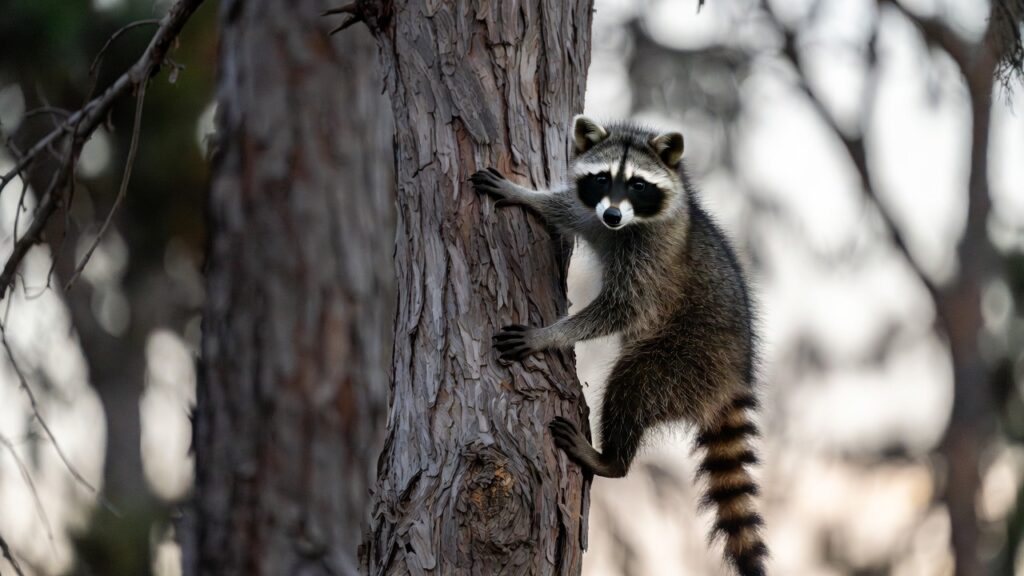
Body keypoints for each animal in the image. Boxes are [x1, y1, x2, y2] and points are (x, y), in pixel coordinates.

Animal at [470, 116, 767, 576]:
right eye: (602, 179)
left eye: (638, 185)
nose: (612, 213)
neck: (623, 226)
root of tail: (735, 376)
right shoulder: (593, 214)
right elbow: (566, 208)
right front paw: (527, 195)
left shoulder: (650, 257)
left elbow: (622, 309)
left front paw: (551, 334)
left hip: (686, 358)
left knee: (632, 385)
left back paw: (611, 460)